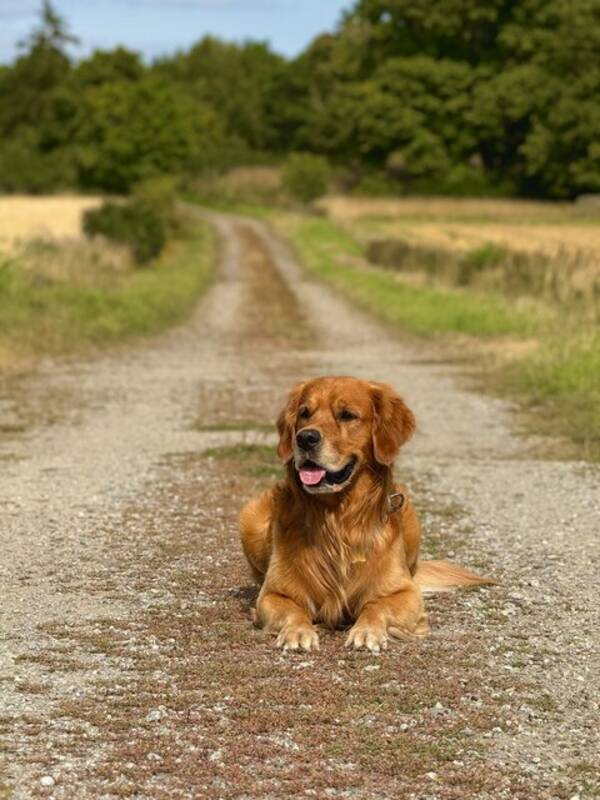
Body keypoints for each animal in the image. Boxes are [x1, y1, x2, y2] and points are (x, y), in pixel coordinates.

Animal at [239, 376, 492, 648]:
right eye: (304, 413)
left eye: (347, 415)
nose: (305, 438)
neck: (337, 517)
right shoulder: (274, 593)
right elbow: (292, 610)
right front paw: (297, 631)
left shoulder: (405, 592)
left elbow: (376, 605)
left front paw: (367, 630)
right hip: (249, 516)